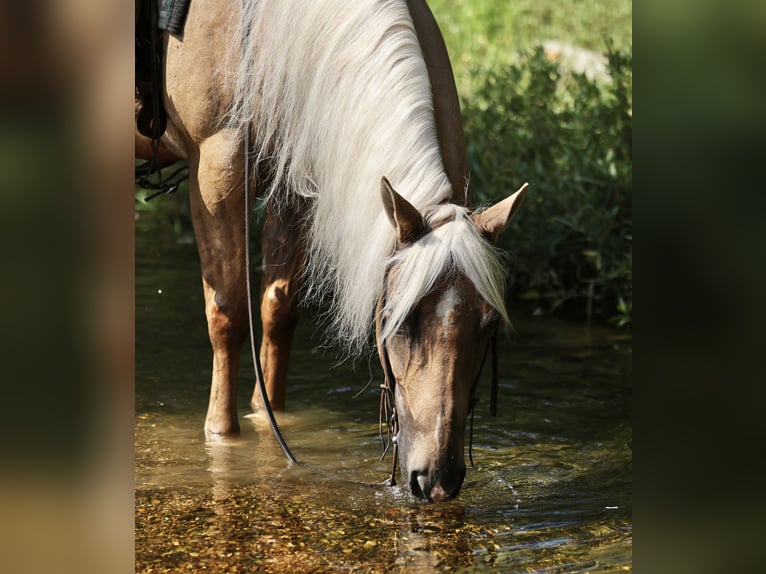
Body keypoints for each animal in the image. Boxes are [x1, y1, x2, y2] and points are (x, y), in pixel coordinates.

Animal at [135, 0, 527, 502]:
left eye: (490, 323)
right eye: (398, 321)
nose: (437, 480)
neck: (260, 30)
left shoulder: (294, 185)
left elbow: (278, 312)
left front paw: (268, 419)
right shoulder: (218, 170)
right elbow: (228, 317)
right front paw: (221, 439)